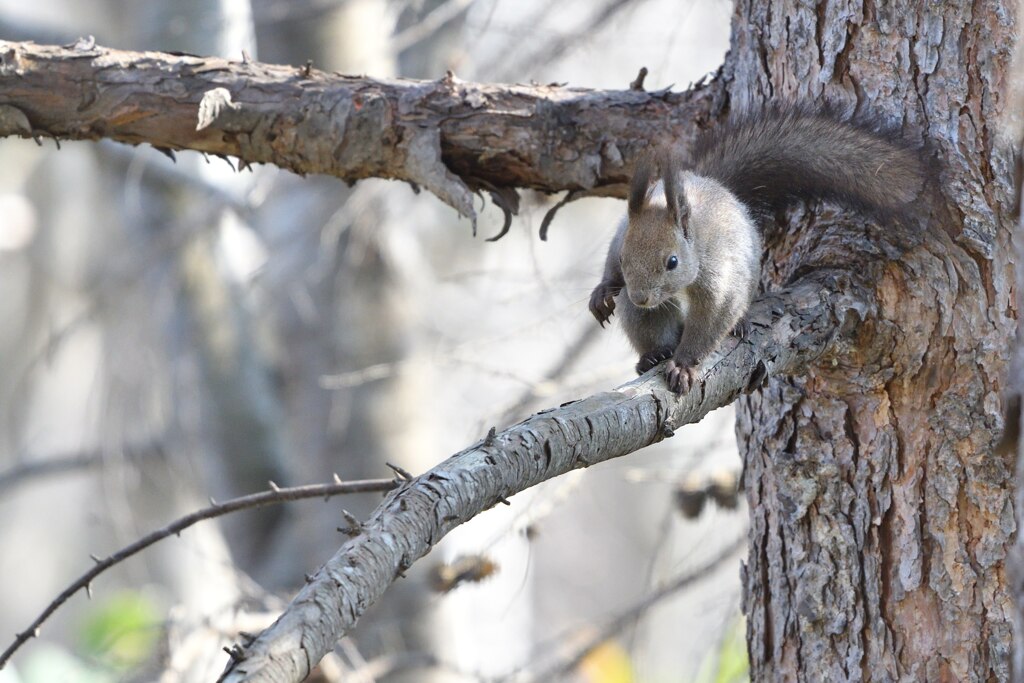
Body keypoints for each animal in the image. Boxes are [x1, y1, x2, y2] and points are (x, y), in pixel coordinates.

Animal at [589, 107, 925, 395]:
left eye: (672, 261)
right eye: (623, 257)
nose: (640, 297)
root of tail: (723, 190)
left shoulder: (718, 277)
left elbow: (712, 319)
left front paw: (684, 365)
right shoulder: (621, 237)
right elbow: (611, 269)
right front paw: (603, 289)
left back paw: (736, 326)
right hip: (642, 311)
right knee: (650, 325)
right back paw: (653, 355)